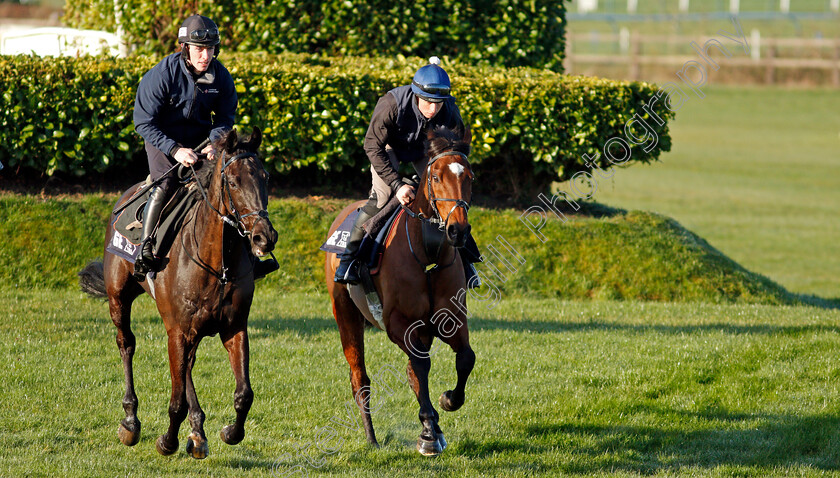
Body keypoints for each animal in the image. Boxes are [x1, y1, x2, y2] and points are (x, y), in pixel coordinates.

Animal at [79, 128, 278, 460]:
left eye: (265, 178)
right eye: (233, 182)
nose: (265, 236)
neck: (216, 261)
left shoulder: (233, 327)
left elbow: (244, 394)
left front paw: (229, 432)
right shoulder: (178, 330)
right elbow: (176, 403)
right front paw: (167, 441)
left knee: (188, 366)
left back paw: (197, 431)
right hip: (119, 298)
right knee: (126, 344)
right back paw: (131, 420)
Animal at [324, 126, 476, 456]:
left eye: (469, 176)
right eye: (436, 177)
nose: (458, 230)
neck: (428, 252)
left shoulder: (450, 319)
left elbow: (464, 358)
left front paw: (447, 402)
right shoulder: (398, 324)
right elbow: (420, 365)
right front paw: (429, 432)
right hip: (346, 314)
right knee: (360, 378)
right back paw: (371, 437)